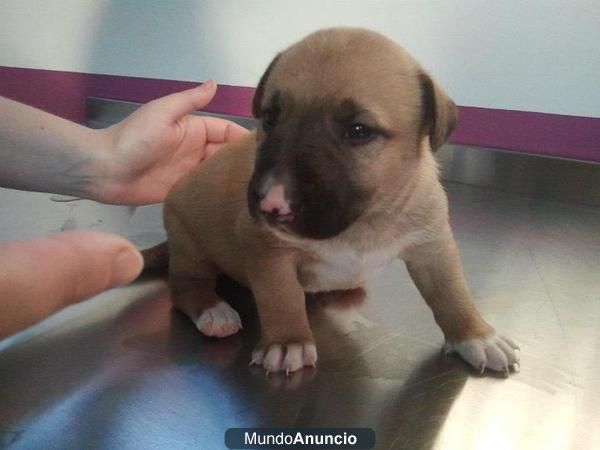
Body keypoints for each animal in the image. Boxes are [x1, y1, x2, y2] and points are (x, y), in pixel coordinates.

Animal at [148, 26, 516, 374]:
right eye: (270, 117)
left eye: (358, 130)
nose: (269, 202)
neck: (365, 221)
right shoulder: (264, 247)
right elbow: (281, 296)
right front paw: (287, 342)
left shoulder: (433, 246)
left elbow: (452, 292)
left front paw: (477, 335)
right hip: (190, 244)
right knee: (184, 285)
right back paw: (214, 312)